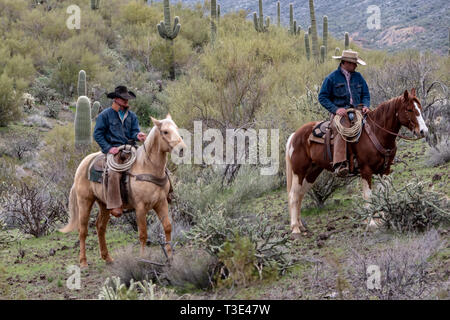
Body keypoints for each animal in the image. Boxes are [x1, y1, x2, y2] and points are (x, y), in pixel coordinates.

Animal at [60, 114, 186, 268]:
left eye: (176, 128)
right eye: (165, 132)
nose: (182, 149)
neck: (147, 167)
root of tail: (83, 163)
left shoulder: (161, 203)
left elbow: (167, 227)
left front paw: (170, 258)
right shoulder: (140, 207)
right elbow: (143, 234)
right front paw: (143, 259)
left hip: (105, 204)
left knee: (100, 227)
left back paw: (107, 258)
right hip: (85, 201)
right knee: (83, 230)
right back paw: (83, 262)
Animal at [286, 88, 428, 238]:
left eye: (419, 108)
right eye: (409, 109)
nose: (424, 131)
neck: (377, 133)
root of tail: (295, 135)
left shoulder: (385, 170)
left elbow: (382, 193)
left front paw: (383, 219)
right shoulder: (366, 170)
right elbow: (368, 196)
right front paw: (371, 223)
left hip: (312, 173)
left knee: (300, 194)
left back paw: (301, 226)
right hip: (299, 172)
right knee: (293, 195)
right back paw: (295, 229)